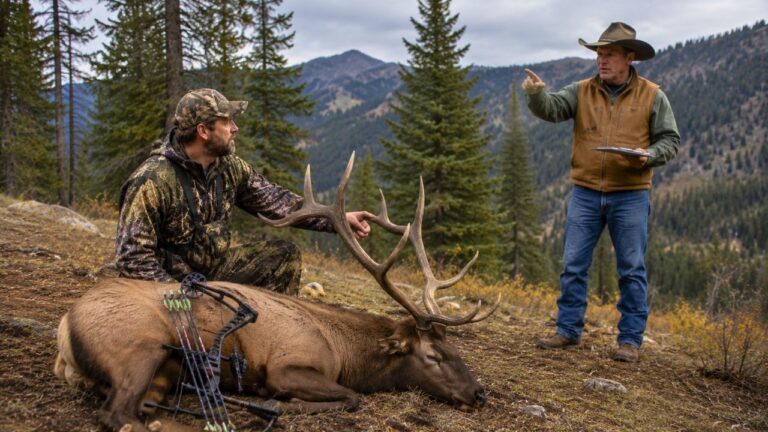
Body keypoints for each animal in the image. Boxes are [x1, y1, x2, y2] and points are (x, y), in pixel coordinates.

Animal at [53, 154, 499, 432]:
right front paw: (278, 405)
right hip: (140, 347)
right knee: (118, 414)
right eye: (433, 356)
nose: (479, 394)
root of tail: (64, 328)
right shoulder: (288, 365)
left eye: (455, 348)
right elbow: (351, 396)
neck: (345, 352)